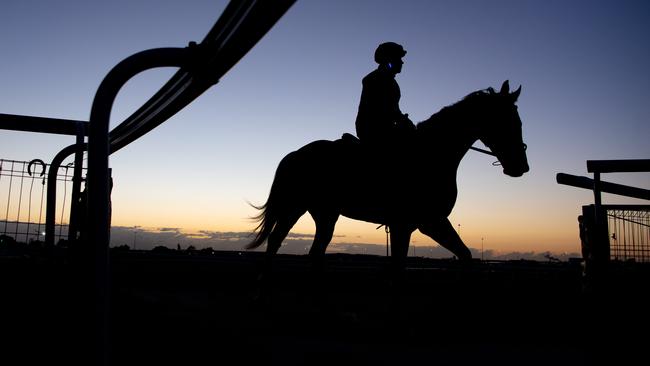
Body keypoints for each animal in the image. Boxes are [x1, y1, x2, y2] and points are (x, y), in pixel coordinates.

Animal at [247, 81, 528, 268]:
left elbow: (465, 255)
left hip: (322, 212)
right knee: (277, 241)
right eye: (508, 122)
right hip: (295, 207)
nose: (521, 167)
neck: (431, 154)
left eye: (519, 122)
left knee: (305, 248)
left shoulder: (427, 222)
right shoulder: (415, 223)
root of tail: (295, 154)